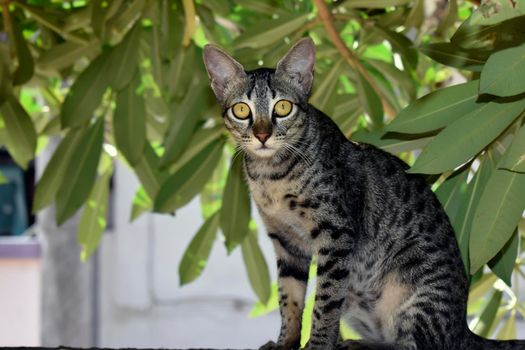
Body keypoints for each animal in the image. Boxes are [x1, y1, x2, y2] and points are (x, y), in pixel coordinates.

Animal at [202, 38, 524, 350]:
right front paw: (285, 343)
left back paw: (358, 345)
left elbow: (325, 303)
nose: (262, 135)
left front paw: (318, 345)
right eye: (241, 110)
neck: (272, 177)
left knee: (419, 344)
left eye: (282, 108)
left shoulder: (336, 234)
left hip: (415, 281)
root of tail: (462, 328)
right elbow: (289, 300)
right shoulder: (286, 242)